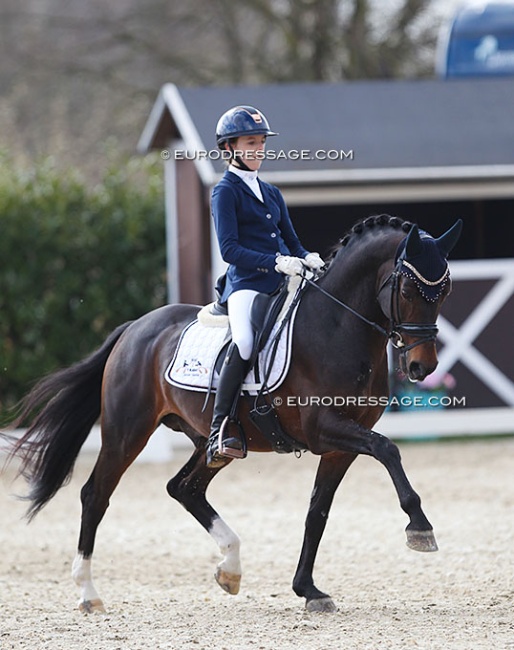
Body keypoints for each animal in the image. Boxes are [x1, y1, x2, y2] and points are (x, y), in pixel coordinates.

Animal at [1, 214, 460, 612]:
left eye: (445, 291)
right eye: (408, 290)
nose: (422, 367)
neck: (336, 325)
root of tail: (134, 328)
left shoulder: (340, 446)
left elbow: (318, 513)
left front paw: (308, 590)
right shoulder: (325, 430)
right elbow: (388, 450)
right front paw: (420, 527)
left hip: (211, 441)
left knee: (184, 488)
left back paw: (231, 569)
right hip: (126, 432)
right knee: (96, 494)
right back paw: (88, 593)